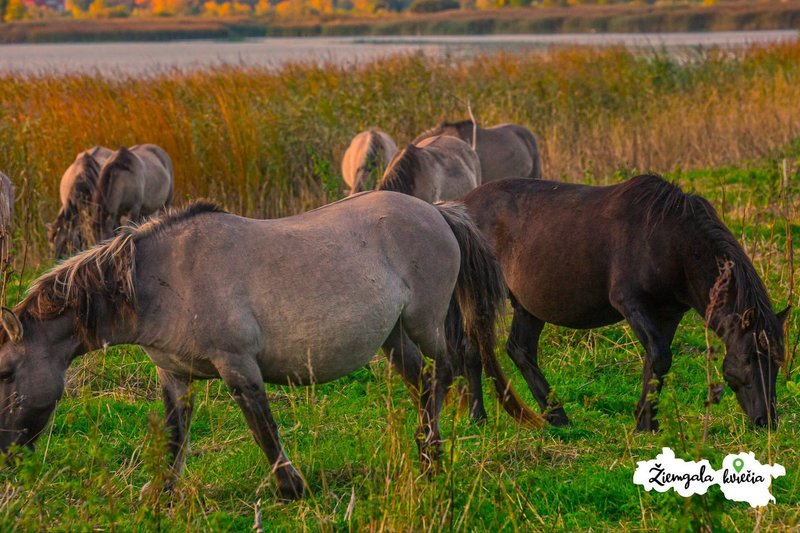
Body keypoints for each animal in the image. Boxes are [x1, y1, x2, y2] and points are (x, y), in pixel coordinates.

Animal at [0, 194, 540, 498]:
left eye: (5, 373)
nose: (4, 452)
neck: (163, 279)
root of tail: (437, 211)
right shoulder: (174, 376)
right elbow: (174, 436)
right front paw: (160, 493)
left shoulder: (238, 367)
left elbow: (264, 430)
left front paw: (290, 488)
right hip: (393, 337)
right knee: (423, 382)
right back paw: (427, 453)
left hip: (424, 321)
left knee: (447, 369)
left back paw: (430, 451)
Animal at [462, 177, 788, 430]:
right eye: (750, 358)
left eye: (777, 362)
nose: (766, 421)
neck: (672, 241)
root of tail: (460, 207)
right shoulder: (630, 303)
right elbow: (659, 355)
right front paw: (644, 422)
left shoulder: (669, 313)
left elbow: (656, 362)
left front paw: (648, 421)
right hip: (480, 297)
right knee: (472, 350)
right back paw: (479, 418)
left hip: (528, 305)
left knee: (520, 349)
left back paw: (557, 416)